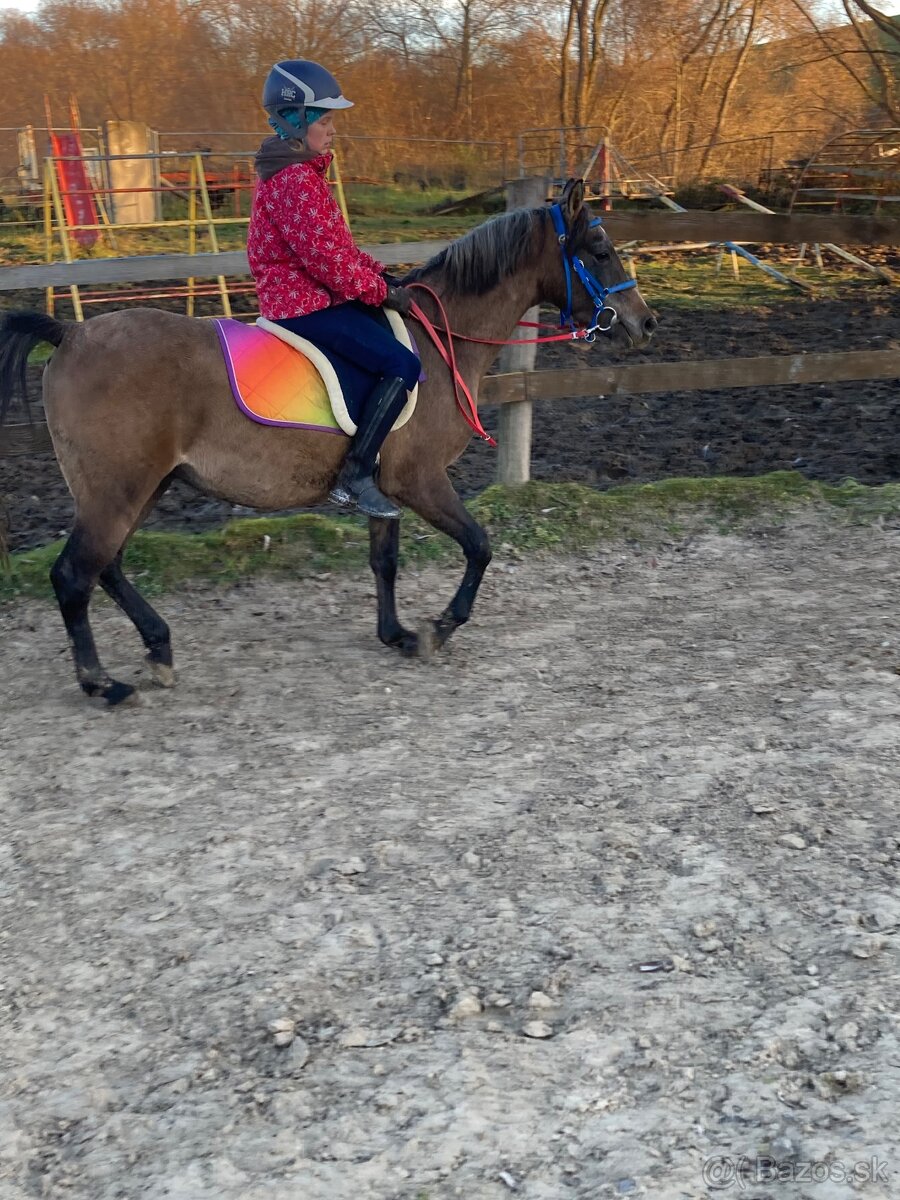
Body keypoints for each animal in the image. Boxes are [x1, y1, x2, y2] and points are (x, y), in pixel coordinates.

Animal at [0, 179, 656, 705]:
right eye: (600, 251)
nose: (644, 322)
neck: (439, 342)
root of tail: (70, 333)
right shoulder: (421, 480)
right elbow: (479, 545)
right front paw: (440, 627)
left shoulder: (385, 489)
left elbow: (384, 559)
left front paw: (396, 634)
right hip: (119, 489)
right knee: (74, 575)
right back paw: (100, 683)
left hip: (143, 486)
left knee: (105, 567)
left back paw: (158, 649)